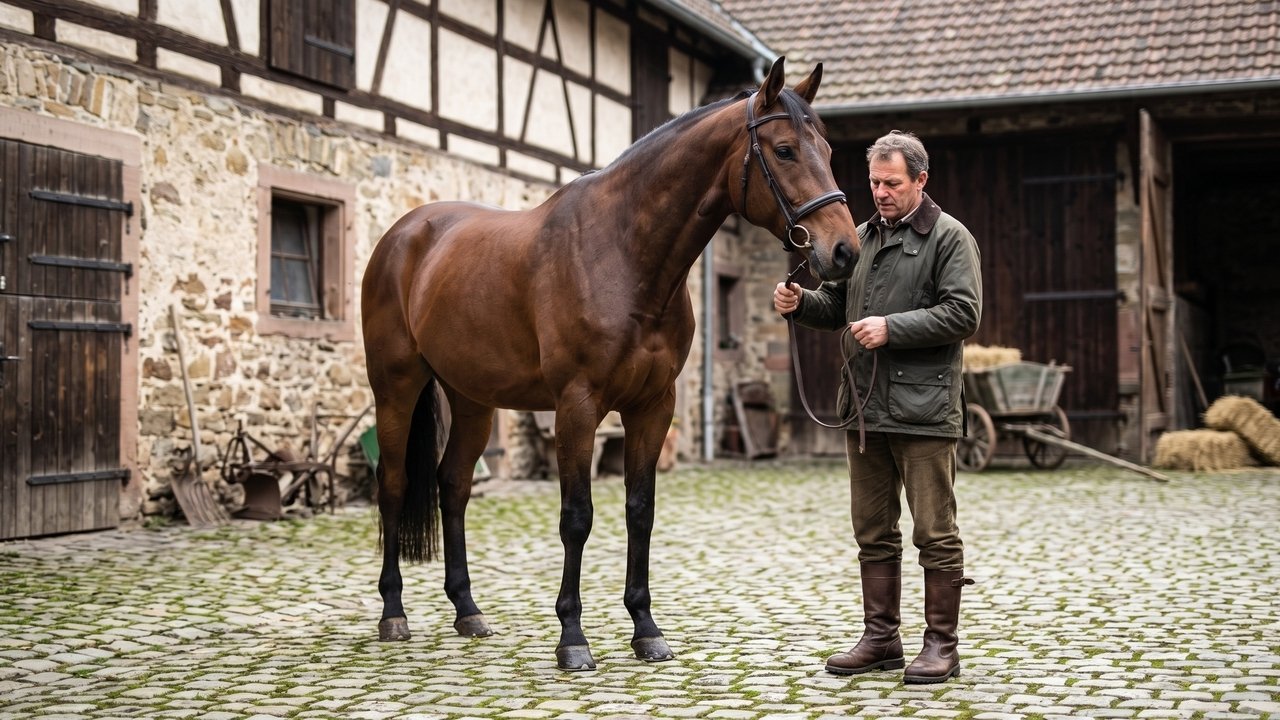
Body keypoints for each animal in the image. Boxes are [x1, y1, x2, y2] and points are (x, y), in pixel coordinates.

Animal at [360, 56, 859, 671]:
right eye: (785, 149)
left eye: (829, 151)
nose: (844, 251)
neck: (623, 254)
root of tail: (404, 234)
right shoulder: (577, 407)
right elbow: (577, 517)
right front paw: (572, 638)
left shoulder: (654, 406)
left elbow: (639, 511)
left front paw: (646, 629)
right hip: (396, 387)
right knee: (394, 484)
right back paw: (393, 614)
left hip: (472, 398)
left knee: (452, 485)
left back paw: (468, 611)